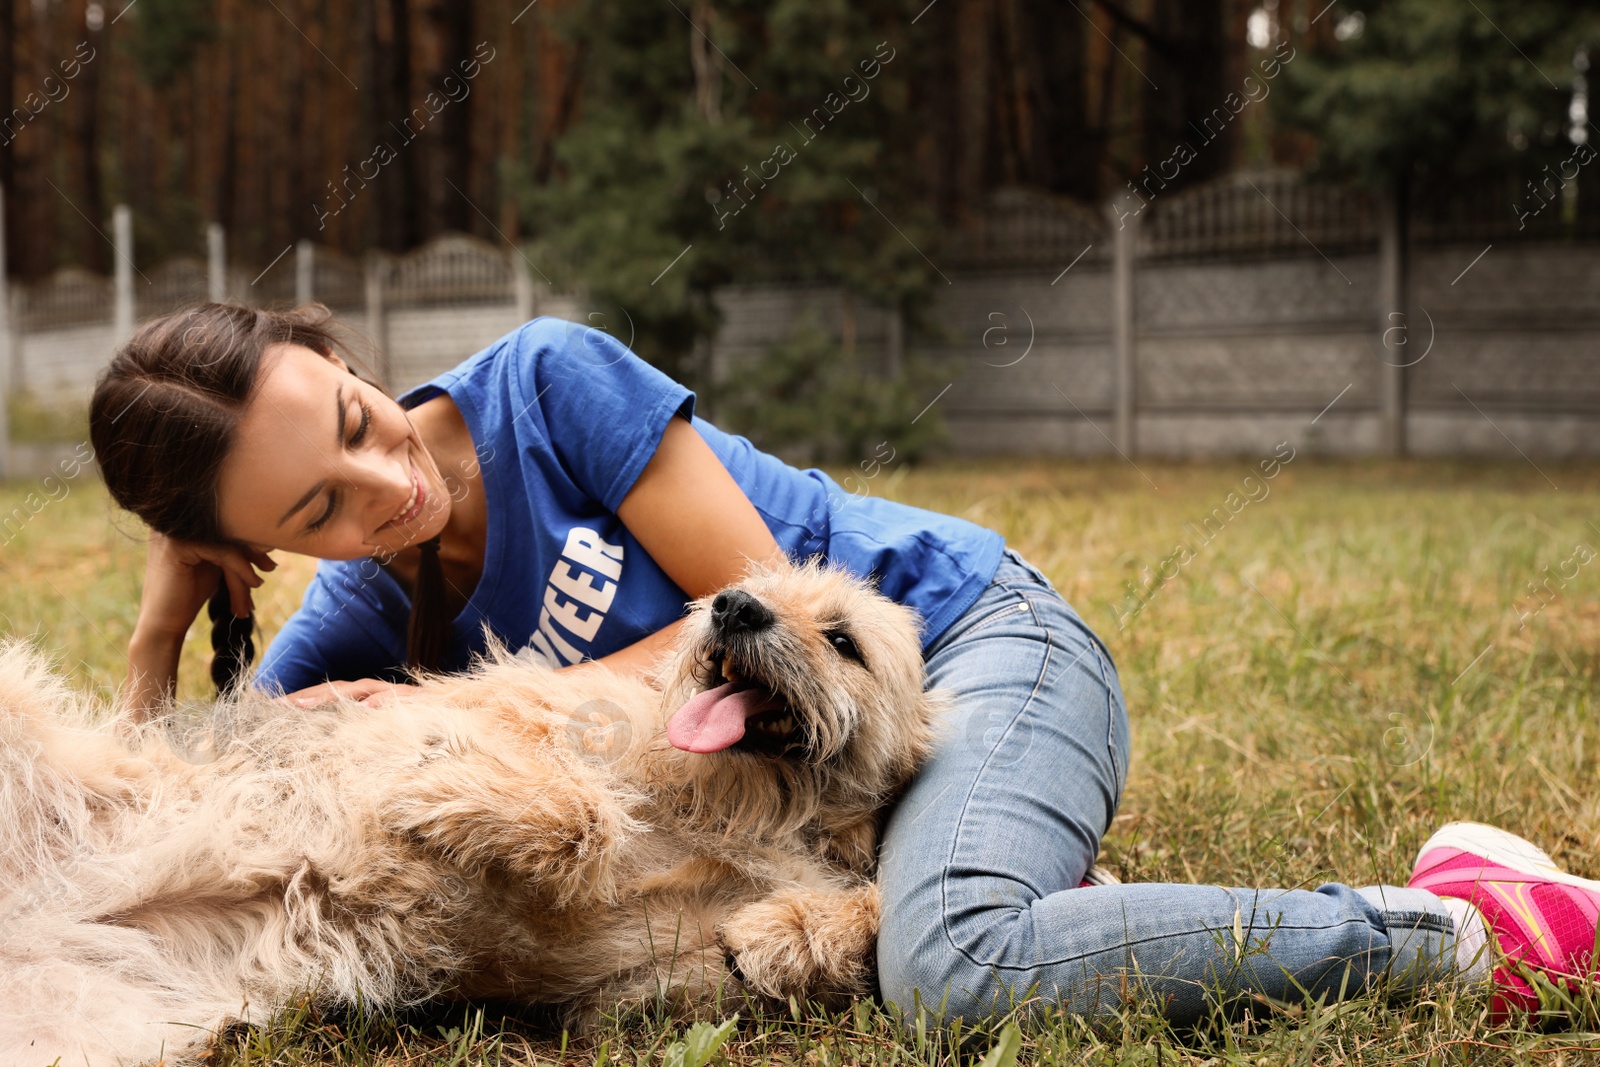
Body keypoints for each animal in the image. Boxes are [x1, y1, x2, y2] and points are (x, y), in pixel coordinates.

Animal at [0, 563, 934, 1062]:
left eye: (845, 640)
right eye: (748, 586)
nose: (733, 606)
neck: (738, 806)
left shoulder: (640, 993)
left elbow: (859, 911)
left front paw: (790, 933)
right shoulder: (513, 712)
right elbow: (577, 808)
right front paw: (433, 791)